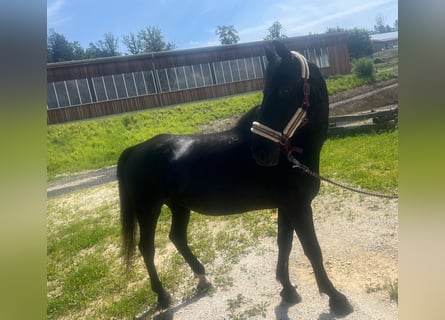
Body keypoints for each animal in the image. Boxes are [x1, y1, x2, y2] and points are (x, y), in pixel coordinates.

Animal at [116, 41, 352, 316]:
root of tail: (136, 149)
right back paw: (163, 296)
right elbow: (312, 250)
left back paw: (203, 279)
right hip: (148, 208)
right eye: (266, 90)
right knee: (147, 247)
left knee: (177, 237)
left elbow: (285, 244)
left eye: (284, 89)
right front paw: (335, 298)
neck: (291, 155)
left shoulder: (287, 207)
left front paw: (287, 289)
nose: (261, 153)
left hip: (178, 206)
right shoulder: (298, 207)